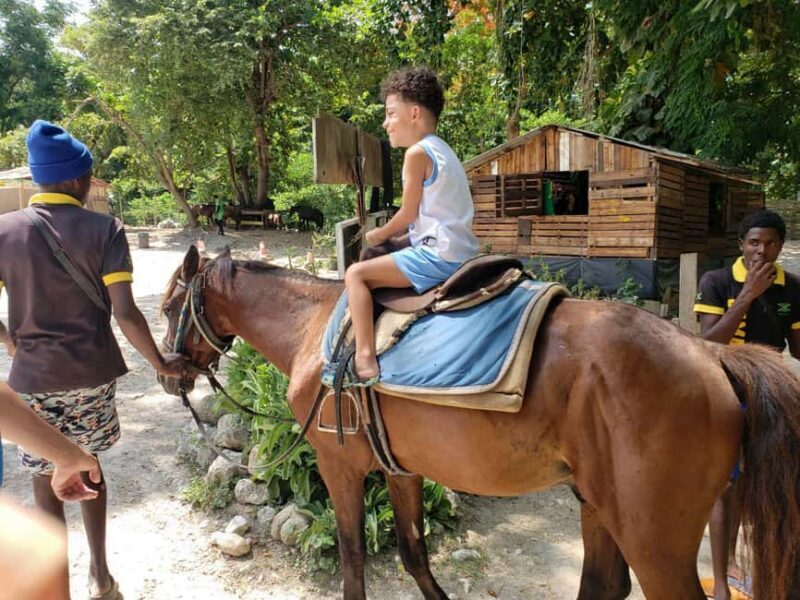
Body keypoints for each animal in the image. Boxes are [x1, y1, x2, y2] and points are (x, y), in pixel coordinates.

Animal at [158, 246, 800, 600]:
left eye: (167, 308)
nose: (169, 373)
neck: (313, 329)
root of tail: (710, 355)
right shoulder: (401, 469)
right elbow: (414, 554)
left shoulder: (339, 465)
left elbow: (353, 560)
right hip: (599, 504)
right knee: (604, 586)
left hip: (653, 540)